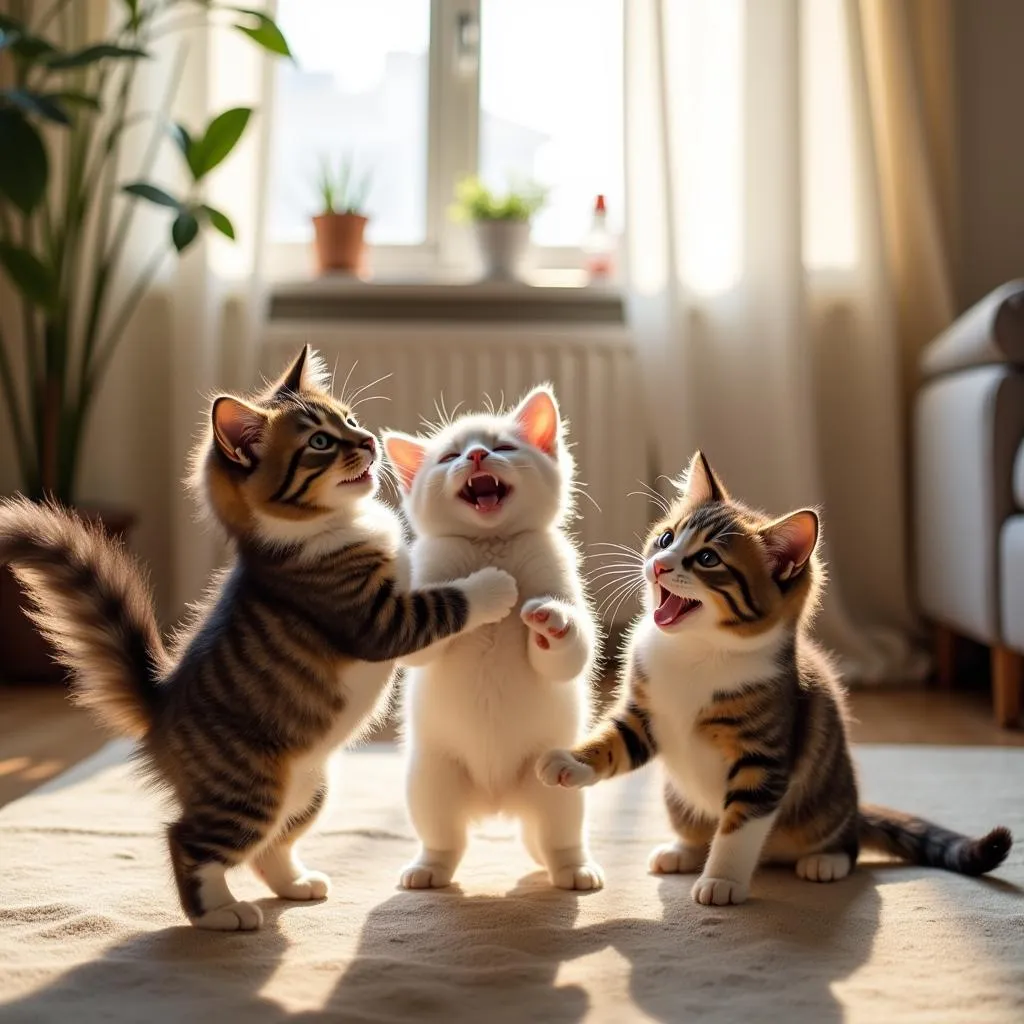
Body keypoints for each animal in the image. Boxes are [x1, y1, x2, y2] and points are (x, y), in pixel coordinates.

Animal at [0, 348, 516, 933]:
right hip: (247, 790)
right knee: (190, 841)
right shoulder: (371, 618)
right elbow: (445, 604)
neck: (332, 527)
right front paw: (495, 584)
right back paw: (221, 913)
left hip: (310, 788)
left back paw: (297, 884)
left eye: (350, 419)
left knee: (270, 847)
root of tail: (160, 703)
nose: (368, 441)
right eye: (320, 442)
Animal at [385, 385, 606, 888]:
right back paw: (428, 869)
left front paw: (551, 621)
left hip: (555, 781)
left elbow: (570, 657)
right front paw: (484, 592)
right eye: (449, 457)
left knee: (557, 835)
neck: (490, 542)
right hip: (431, 777)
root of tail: (497, 801)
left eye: (504, 447)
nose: (477, 455)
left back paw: (573, 868)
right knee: (445, 837)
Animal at [540, 452, 1011, 909]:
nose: (658, 566)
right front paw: (569, 763)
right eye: (667, 538)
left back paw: (825, 861)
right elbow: (613, 743)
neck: (696, 650)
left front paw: (722, 881)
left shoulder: (762, 757)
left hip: (828, 806)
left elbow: (739, 825)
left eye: (708, 559)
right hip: (677, 799)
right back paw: (682, 850)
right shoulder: (645, 716)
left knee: (847, 841)